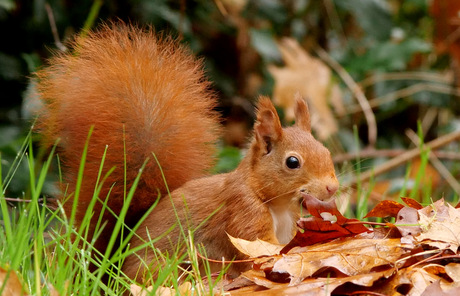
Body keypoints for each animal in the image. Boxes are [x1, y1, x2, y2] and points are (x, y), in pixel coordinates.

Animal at [35, 23, 338, 282]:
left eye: (326, 151)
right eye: (292, 162)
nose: (332, 188)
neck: (278, 206)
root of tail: (113, 269)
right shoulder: (243, 213)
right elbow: (262, 249)